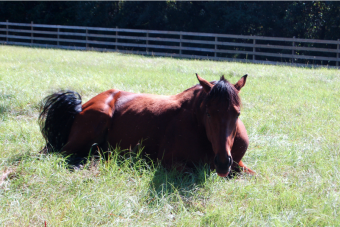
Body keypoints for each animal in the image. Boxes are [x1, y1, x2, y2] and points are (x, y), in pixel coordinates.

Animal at [38, 73, 254, 176]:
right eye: (208, 113)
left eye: (237, 113)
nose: (222, 163)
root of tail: (82, 106)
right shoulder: (170, 164)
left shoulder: (238, 163)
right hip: (96, 119)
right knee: (55, 153)